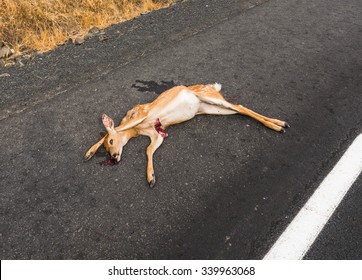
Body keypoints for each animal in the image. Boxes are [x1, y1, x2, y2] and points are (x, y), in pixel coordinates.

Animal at [84, 83, 288, 188]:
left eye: (111, 142)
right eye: (107, 149)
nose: (113, 157)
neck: (139, 130)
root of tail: (212, 86)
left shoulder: (141, 114)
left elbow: (118, 128)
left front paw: (88, 152)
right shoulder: (156, 134)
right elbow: (149, 150)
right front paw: (151, 177)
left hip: (210, 98)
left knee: (239, 107)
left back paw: (278, 125)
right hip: (211, 108)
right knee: (240, 109)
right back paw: (279, 124)